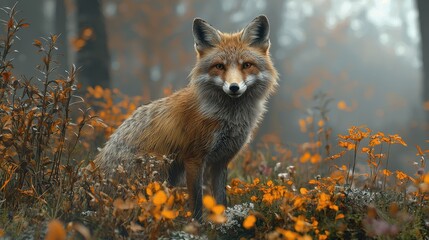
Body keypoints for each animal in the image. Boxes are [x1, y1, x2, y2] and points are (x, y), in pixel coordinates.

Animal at [93, 15, 278, 220]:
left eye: (246, 65)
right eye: (219, 66)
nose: (234, 87)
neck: (227, 118)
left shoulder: (221, 161)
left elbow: (221, 201)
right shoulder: (194, 159)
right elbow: (196, 204)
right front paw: (197, 225)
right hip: (158, 173)